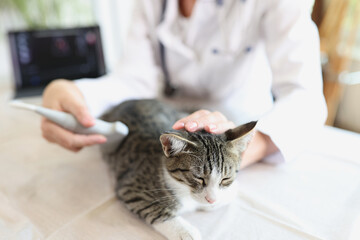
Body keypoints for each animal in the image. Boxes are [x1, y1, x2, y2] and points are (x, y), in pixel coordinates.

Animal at [100, 98, 256, 239]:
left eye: (226, 178)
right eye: (199, 177)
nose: (211, 200)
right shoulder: (132, 187)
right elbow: (156, 209)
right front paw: (186, 232)